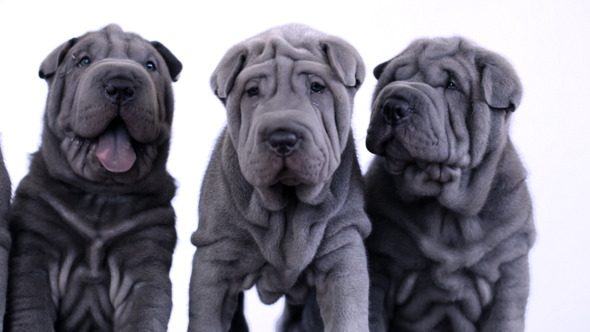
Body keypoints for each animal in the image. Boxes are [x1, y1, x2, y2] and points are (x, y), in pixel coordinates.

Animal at [4, 24, 183, 332]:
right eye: (83, 61)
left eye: (150, 65)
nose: (121, 84)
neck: (100, 197)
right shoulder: (34, 256)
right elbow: (31, 312)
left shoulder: (146, 264)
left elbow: (144, 316)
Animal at [190, 24, 372, 332]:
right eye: (252, 91)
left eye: (317, 87)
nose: (282, 137)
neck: (287, 202)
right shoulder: (214, 258)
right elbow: (205, 317)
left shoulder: (343, 246)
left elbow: (348, 313)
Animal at [366, 36, 536, 332]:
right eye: (392, 79)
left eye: (452, 86)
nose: (393, 106)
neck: (446, 209)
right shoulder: (379, 265)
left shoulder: (510, 269)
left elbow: (504, 318)